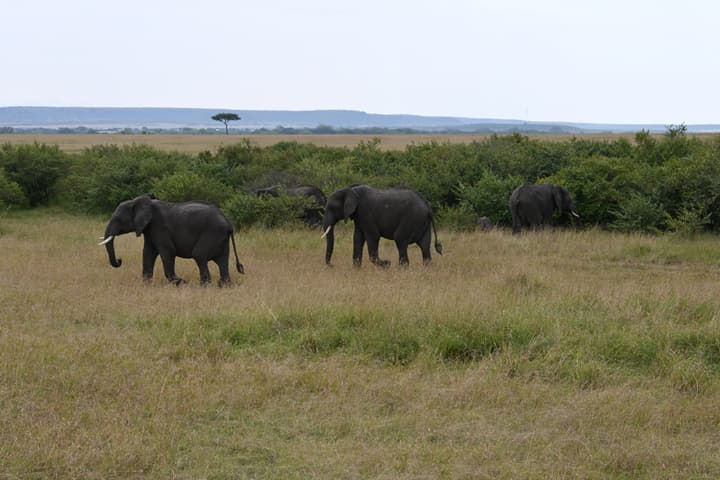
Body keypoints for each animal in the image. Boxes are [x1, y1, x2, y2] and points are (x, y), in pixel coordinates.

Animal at [98, 194, 244, 285]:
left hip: (212, 233)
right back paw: (223, 285)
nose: (119, 260)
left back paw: (204, 286)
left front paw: (183, 283)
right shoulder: (149, 230)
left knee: (199, 255)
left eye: (119, 220)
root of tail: (228, 223)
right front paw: (146, 285)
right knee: (222, 261)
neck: (138, 202)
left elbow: (168, 252)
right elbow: (147, 253)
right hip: (221, 238)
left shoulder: (159, 227)